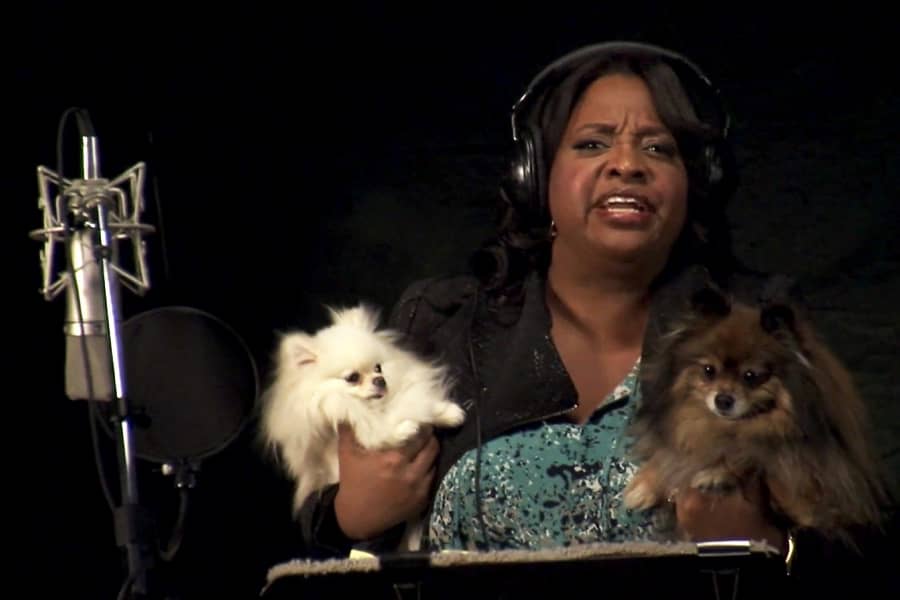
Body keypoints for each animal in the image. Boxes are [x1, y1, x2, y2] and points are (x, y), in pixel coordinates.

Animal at [255, 304, 460, 548]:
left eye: (378, 368)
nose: (380, 380)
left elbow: (417, 405)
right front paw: (405, 430)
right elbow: (375, 432)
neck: (373, 408)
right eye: (352, 378)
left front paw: (449, 413)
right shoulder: (350, 421)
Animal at [624, 284, 892, 544]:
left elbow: (753, 459)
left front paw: (717, 472)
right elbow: (676, 456)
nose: (723, 400)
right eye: (709, 371)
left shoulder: (814, 492)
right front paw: (646, 482)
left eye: (751, 376)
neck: (733, 428)